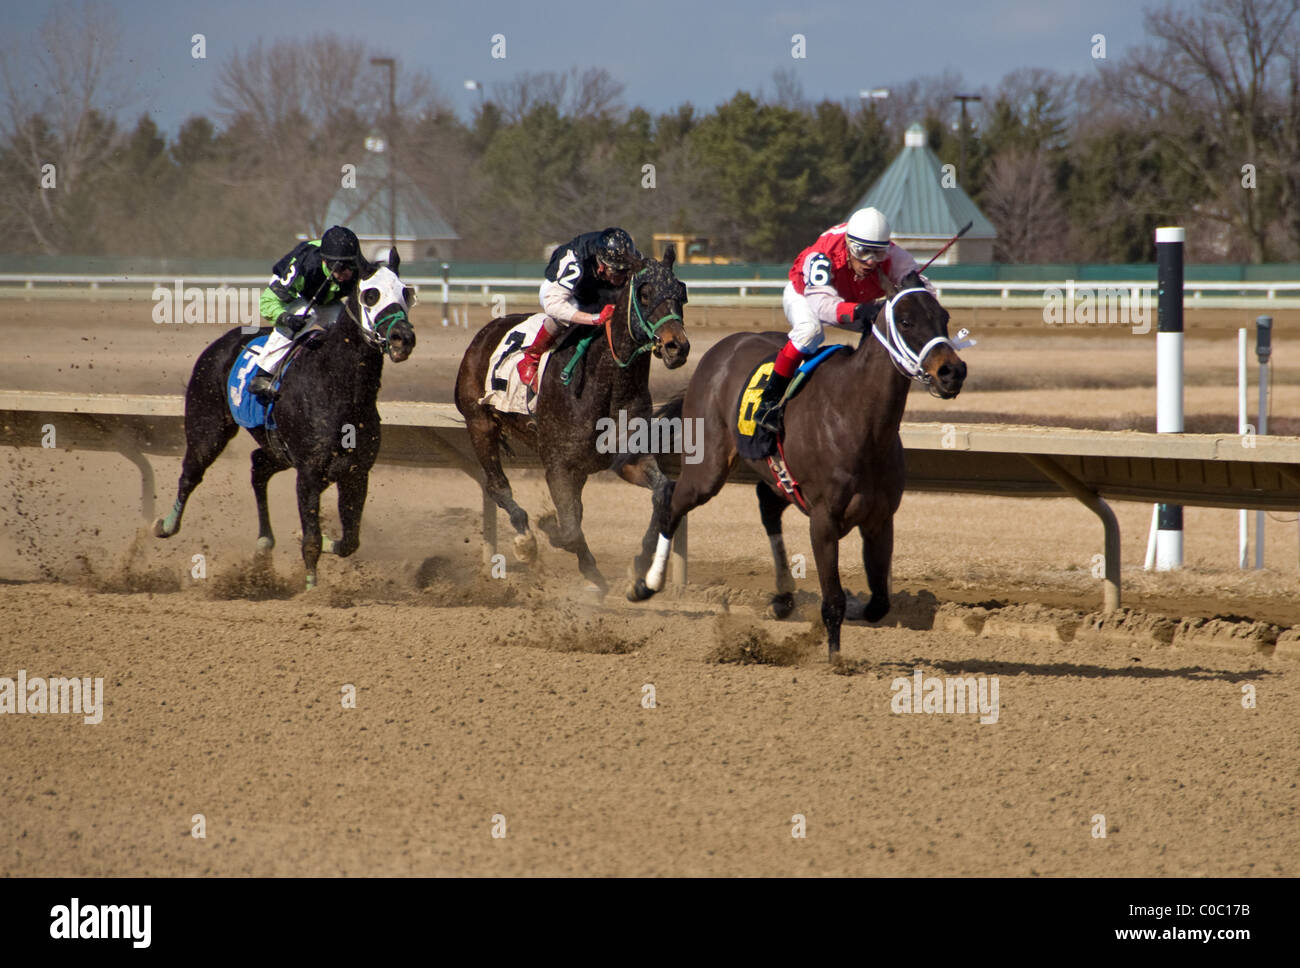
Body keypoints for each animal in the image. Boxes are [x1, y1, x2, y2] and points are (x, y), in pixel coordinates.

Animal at [152, 250, 417, 589]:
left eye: (406, 293)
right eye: (371, 295)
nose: (402, 338)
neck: (338, 388)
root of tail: (221, 342)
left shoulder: (356, 472)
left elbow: (349, 541)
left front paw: (328, 543)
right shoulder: (309, 473)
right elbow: (311, 540)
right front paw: (311, 589)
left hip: (276, 448)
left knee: (258, 466)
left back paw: (265, 542)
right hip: (207, 427)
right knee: (191, 473)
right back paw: (166, 524)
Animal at [454, 247, 689, 594]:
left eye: (681, 293)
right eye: (645, 293)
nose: (678, 347)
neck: (605, 384)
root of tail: (484, 333)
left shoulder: (626, 458)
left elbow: (662, 493)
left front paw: (640, 564)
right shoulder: (557, 465)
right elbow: (567, 529)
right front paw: (552, 533)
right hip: (479, 423)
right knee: (497, 486)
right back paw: (526, 541)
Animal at [629, 270, 968, 658]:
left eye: (944, 317)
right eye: (907, 321)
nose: (953, 371)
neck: (858, 421)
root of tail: (719, 350)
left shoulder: (880, 519)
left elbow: (879, 603)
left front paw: (854, 610)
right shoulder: (823, 519)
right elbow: (833, 599)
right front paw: (835, 658)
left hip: (774, 473)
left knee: (768, 508)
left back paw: (783, 597)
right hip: (708, 468)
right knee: (673, 503)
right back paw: (646, 583)